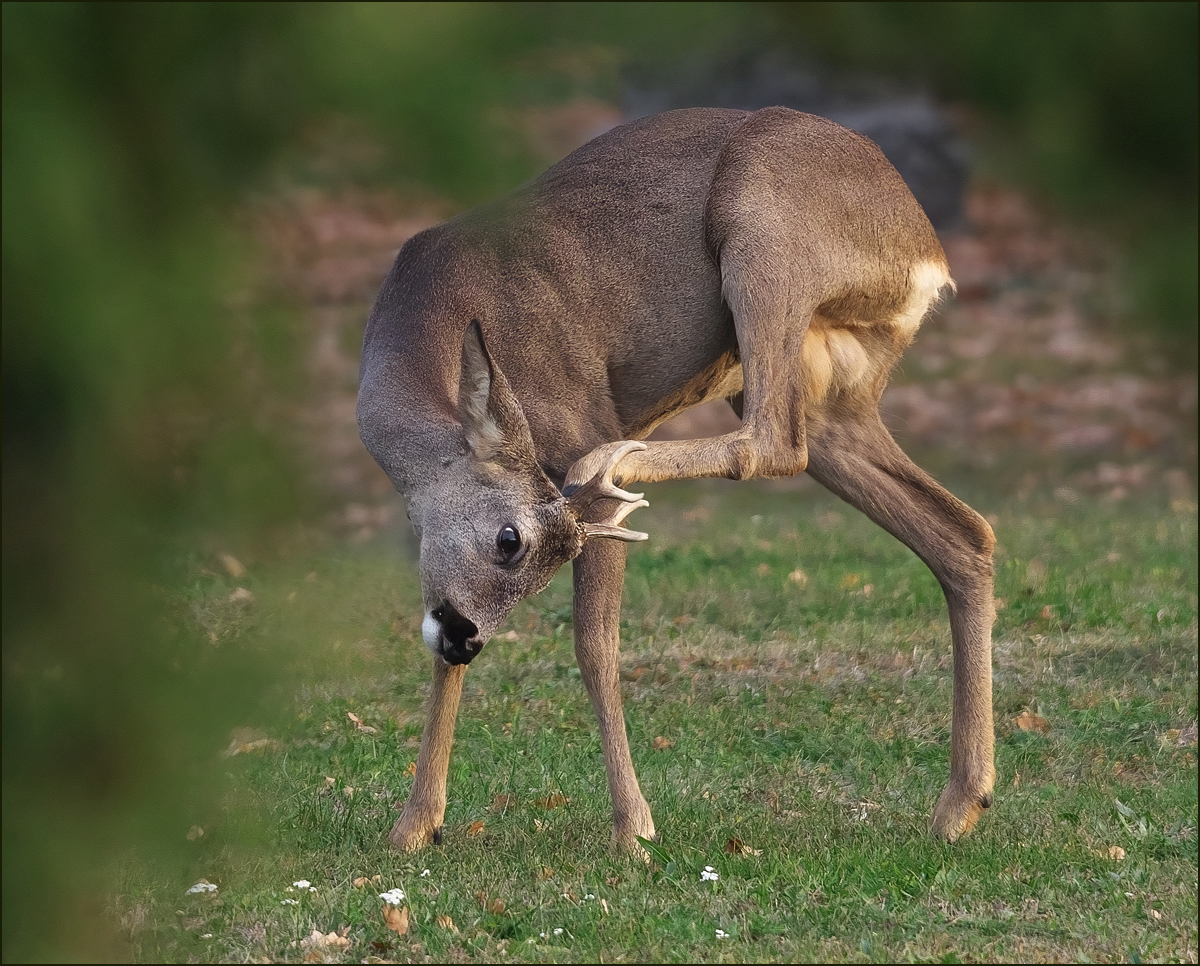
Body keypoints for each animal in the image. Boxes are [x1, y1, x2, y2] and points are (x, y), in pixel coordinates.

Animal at [360, 105, 998, 849]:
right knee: (961, 533)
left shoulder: (577, 413)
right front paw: (414, 826)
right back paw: (961, 804)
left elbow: (594, 645)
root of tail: (929, 255)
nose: (465, 638)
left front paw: (633, 830)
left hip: (763, 232)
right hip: (836, 389)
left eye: (510, 541)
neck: (422, 321)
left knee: (773, 443)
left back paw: (618, 463)